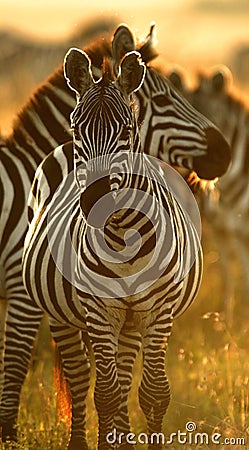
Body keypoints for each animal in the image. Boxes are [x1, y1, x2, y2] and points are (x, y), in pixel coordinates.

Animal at [0, 25, 231, 446]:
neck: (125, 235)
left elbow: (152, 393)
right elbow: (100, 392)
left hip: (129, 320)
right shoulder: (86, 307)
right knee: (80, 377)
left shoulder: (157, 310)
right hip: (62, 311)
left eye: (127, 129)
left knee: (120, 380)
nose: (222, 154)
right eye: (76, 127)